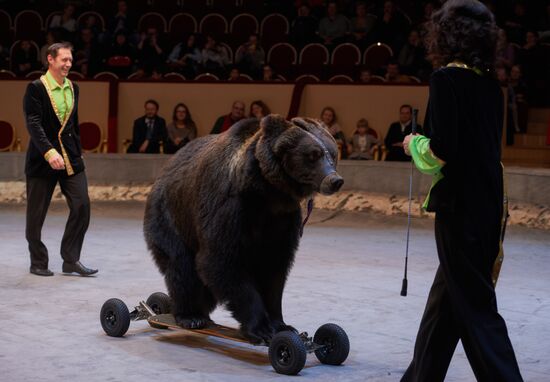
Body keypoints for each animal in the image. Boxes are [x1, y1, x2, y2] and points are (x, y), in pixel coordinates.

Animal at [144, 114, 348, 344]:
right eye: (313, 155)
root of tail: (163, 172)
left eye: (332, 153)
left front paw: (282, 325)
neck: (267, 192)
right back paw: (191, 315)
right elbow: (220, 260)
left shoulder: (283, 219)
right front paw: (261, 328)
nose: (334, 180)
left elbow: (274, 266)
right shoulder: (230, 206)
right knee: (182, 265)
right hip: (171, 216)